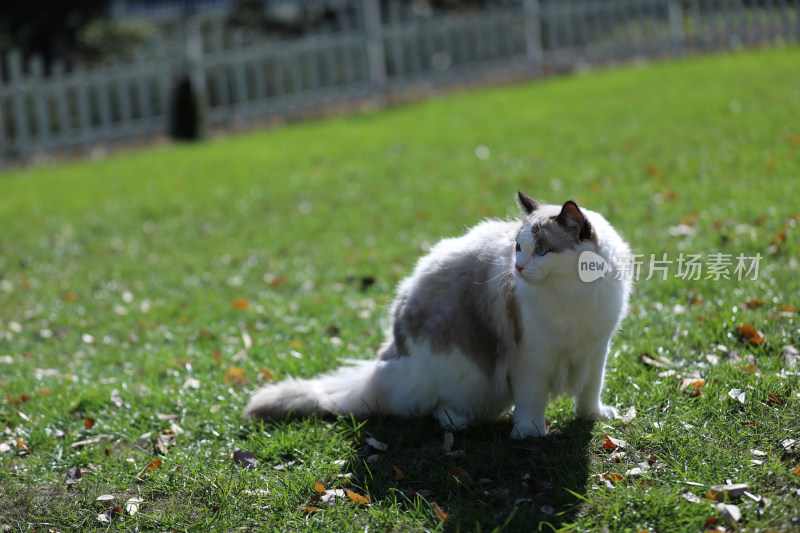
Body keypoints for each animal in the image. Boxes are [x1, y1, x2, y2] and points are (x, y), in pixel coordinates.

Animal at [244, 190, 632, 436]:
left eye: (543, 251)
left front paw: (594, 418)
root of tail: (383, 366)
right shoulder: (532, 358)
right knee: (439, 410)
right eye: (518, 248)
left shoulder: (596, 349)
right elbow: (531, 400)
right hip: (464, 377)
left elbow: (590, 392)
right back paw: (463, 421)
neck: (572, 296)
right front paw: (530, 433)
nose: (518, 267)